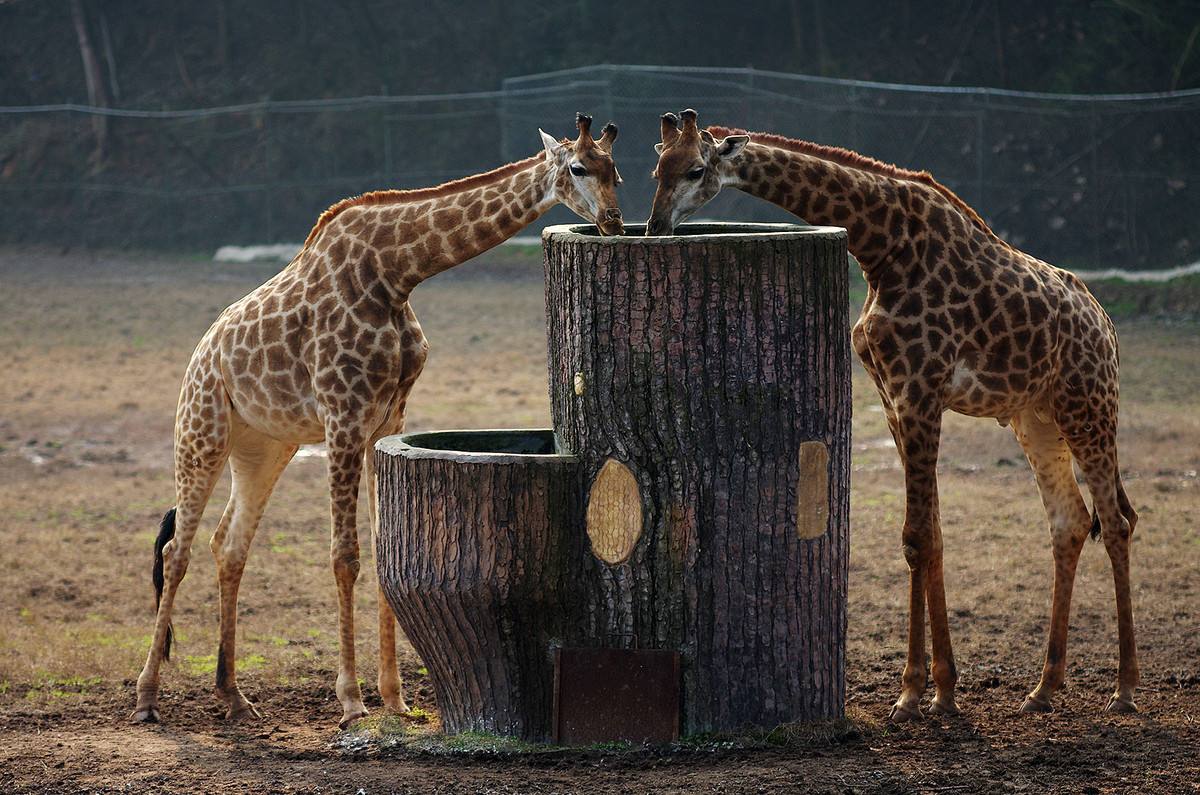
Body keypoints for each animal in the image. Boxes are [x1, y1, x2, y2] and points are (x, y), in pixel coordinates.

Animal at [132, 112, 624, 730]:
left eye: (616, 171)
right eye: (578, 167)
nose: (613, 222)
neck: (394, 274)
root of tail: (201, 353)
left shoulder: (385, 418)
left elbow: (385, 546)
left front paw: (395, 698)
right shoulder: (343, 415)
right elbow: (345, 556)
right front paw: (351, 702)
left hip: (264, 446)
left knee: (230, 544)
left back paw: (233, 695)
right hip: (201, 430)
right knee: (178, 550)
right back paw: (147, 698)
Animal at [652, 109, 1137, 725]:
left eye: (695, 169)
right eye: (656, 169)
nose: (654, 227)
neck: (880, 244)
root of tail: (1107, 327)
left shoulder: (920, 390)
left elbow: (917, 535)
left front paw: (924, 693)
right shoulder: (892, 397)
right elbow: (928, 535)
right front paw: (929, 689)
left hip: (1090, 405)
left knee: (1116, 522)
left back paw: (1125, 687)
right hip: (1036, 417)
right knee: (1071, 522)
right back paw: (1045, 687)